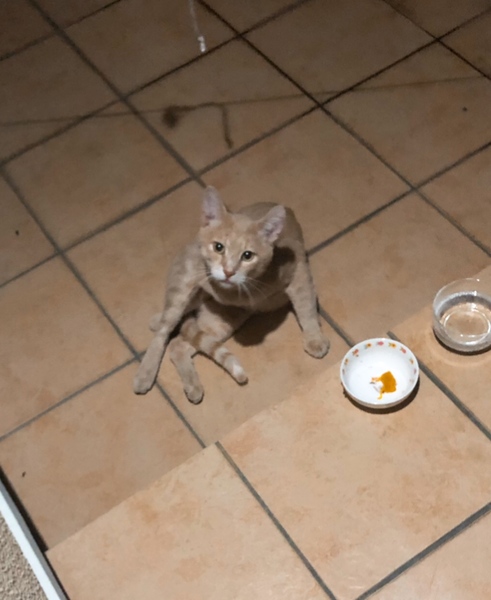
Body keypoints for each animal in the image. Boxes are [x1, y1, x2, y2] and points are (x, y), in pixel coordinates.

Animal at [133, 186, 329, 402]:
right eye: (218, 247)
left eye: (247, 255)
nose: (228, 272)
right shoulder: (194, 279)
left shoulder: (299, 273)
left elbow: (306, 307)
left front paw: (314, 338)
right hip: (187, 294)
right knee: (165, 330)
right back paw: (146, 371)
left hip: (221, 324)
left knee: (178, 346)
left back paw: (192, 385)